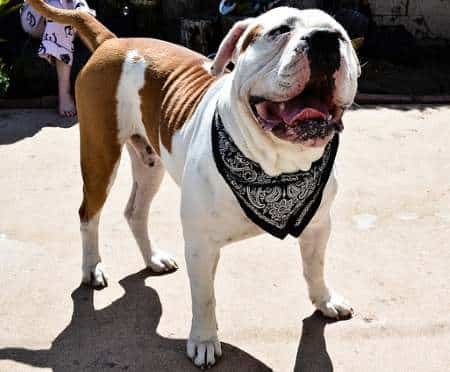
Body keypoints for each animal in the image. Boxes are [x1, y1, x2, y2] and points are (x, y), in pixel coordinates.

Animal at [28, 0, 360, 366]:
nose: (324, 40)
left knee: (135, 211)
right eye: (279, 31)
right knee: (88, 214)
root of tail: (112, 41)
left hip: (150, 163)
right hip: (100, 156)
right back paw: (92, 269)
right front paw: (203, 340)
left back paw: (153, 259)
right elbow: (204, 297)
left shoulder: (318, 226)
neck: (276, 166)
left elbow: (314, 268)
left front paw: (324, 301)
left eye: (341, 36)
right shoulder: (201, 244)